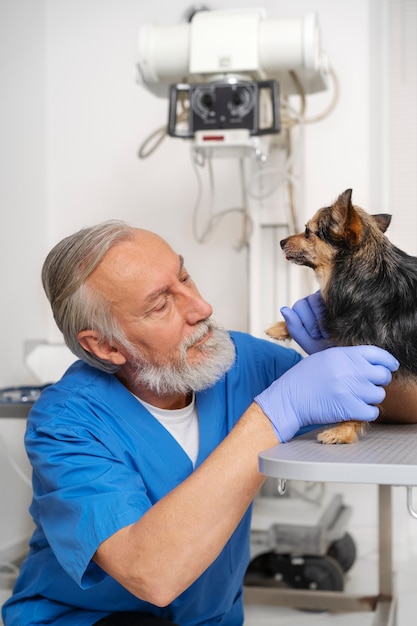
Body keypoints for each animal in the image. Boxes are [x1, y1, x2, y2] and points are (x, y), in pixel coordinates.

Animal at [264, 188, 416, 442]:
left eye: (308, 232)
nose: (281, 241)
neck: (367, 277)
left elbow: (359, 401)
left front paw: (344, 430)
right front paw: (280, 327)